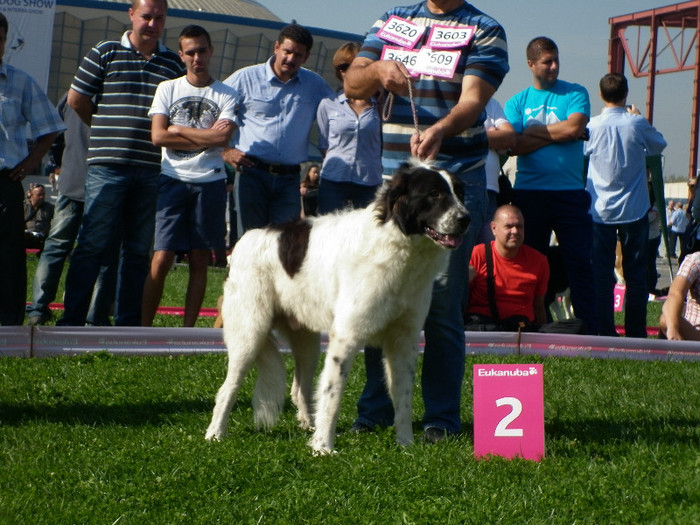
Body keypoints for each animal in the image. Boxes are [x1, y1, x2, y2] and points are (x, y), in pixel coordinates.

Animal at [206, 162, 470, 452]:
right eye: (434, 194)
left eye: (459, 193)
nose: (466, 219)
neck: (398, 245)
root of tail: (242, 241)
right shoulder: (347, 336)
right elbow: (332, 395)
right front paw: (323, 447)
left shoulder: (404, 340)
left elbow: (403, 397)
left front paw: (406, 445)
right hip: (250, 334)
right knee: (227, 388)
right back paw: (215, 434)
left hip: (307, 342)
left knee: (299, 388)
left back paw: (308, 426)